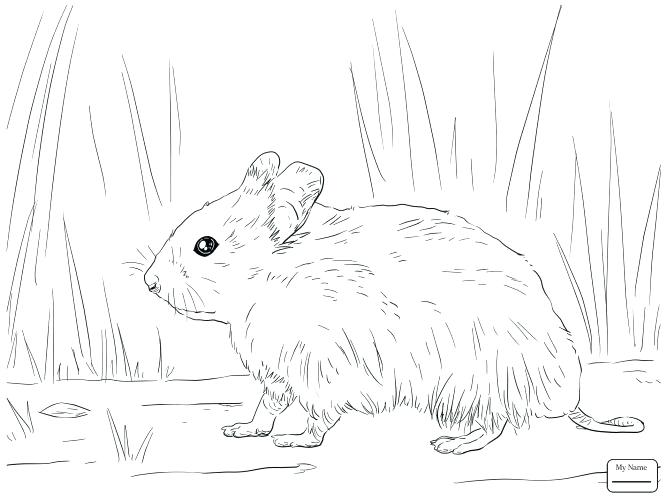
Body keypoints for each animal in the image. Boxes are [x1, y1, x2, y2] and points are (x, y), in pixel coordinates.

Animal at [144, 151, 644, 454]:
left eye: (205, 246)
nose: (149, 283)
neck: (268, 280)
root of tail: (567, 392)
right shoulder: (278, 371)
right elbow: (266, 405)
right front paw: (243, 430)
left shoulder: (323, 370)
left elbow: (318, 419)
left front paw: (294, 441)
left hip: (474, 381)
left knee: (497, 425)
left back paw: (452, 444)